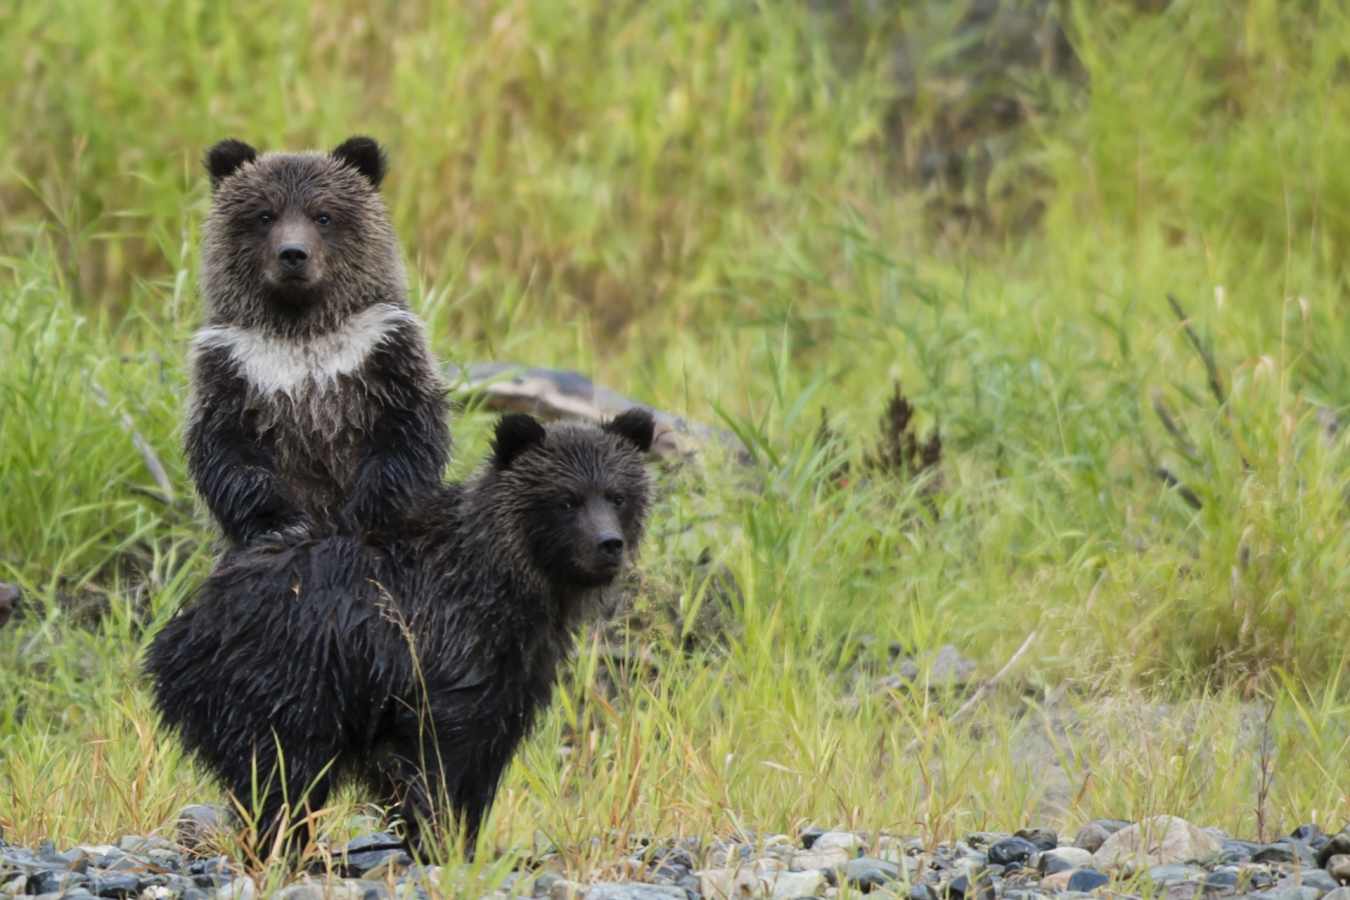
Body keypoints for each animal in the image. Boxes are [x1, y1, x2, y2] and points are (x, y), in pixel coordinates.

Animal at [144, 409, 655, 858]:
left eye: (617, 495)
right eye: (567, 500)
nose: (609, 545)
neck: (513, 581)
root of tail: (177, 631)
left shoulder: (516, 668)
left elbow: (487, 751)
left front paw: (467, 839)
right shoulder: (444, 645)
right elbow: (441, 748)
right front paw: (438, 835)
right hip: (281, 678)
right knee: (282, 772)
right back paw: (284, 847)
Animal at [187, 136, 449, 546]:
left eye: (323, 215)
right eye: (265, 215)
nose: (293, 254)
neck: (302, 331)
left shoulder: (383, 351)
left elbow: (407, 435)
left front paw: (365, 514)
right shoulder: (234, 364)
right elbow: (228, 451)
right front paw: (283, 524)